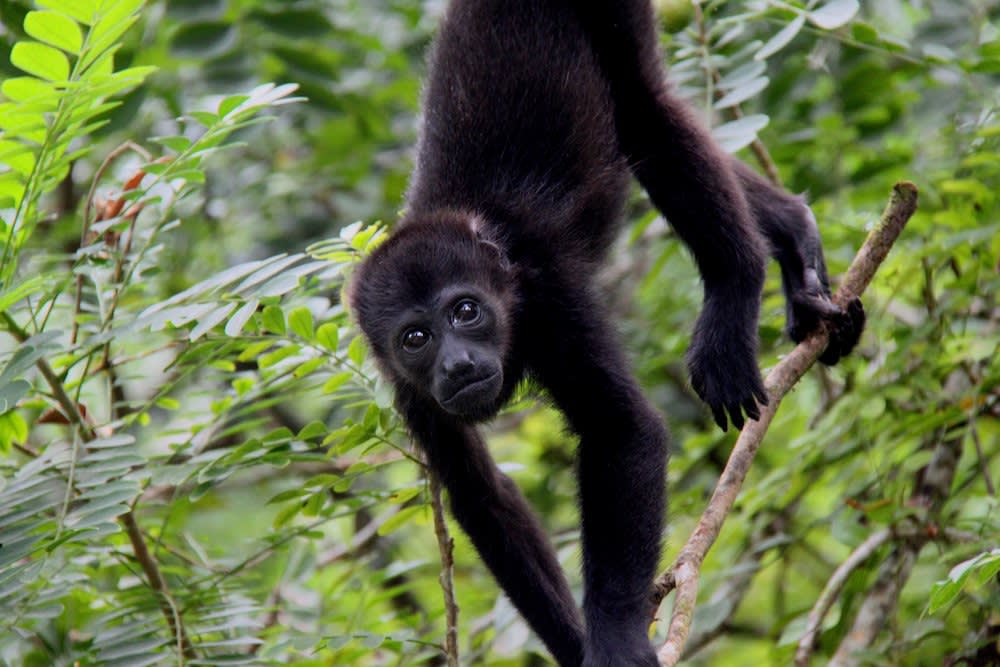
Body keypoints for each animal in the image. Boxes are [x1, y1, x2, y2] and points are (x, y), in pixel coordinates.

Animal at [348, 2, 864, 664]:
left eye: (465, 311)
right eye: (416, 338)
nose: (458, 365)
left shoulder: (551, 302)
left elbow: (623, 429)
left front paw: (615, 640)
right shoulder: (407, 388)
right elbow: (483, 497)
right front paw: (574, 648)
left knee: (647, 108)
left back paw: (736, 286)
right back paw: (794, 235)